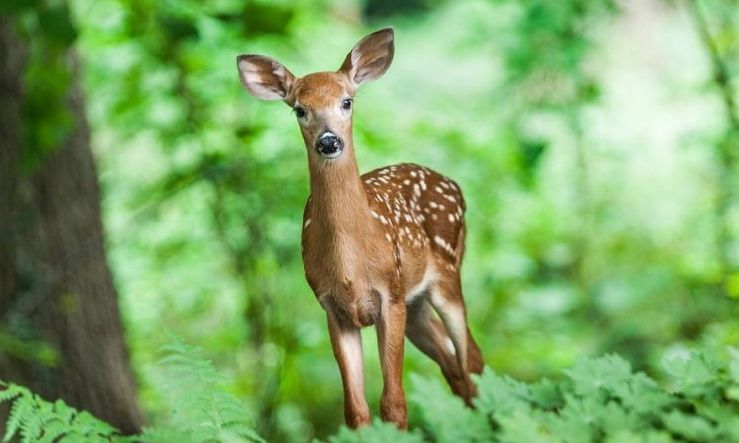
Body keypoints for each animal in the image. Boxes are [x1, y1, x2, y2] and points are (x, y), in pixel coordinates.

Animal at [237, 27, 486, 430]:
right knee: (453, 365)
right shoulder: (333, 308)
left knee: (472, 359)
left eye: (347, 101)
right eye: (299, 109)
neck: (351, 264)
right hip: (416, 304)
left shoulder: (390, 295)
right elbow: (355, 409)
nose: (328, 141)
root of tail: (454, 184)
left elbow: (394, 403)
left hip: (446, 274)